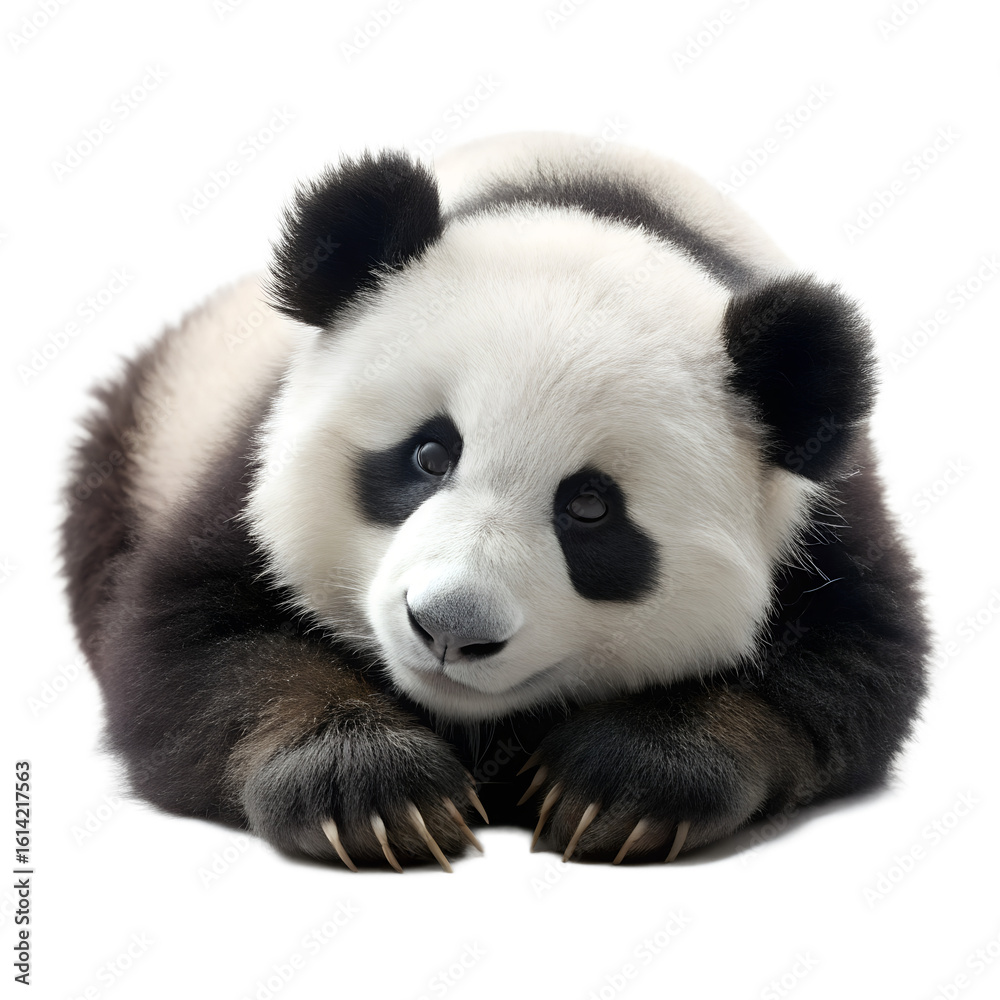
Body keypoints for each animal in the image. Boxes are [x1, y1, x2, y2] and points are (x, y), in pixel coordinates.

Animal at [61, 131, 929, 871]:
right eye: (430, 454)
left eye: (590, 509)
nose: (449, 626)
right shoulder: (244, 464)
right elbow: (196, 647)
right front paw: (372, 791)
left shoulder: (822, 518)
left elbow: (847, 665)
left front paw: (615, 786)